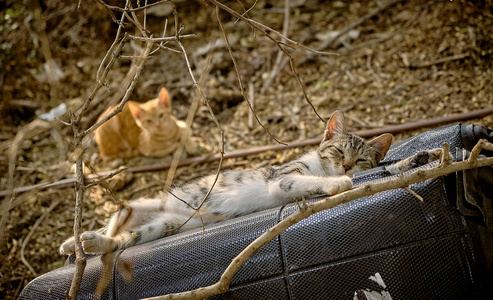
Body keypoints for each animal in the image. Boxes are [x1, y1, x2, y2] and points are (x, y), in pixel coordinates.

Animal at [59, 111, 440, 254]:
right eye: (339, 150)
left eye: (360, 160)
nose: (346, 165)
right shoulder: (283, 178)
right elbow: (308, 180)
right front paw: (337, 184)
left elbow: (390, 169)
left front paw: (418, 159)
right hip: (136, 207)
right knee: (112, 226)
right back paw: (75, 242)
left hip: (160, 227)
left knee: (119, 241)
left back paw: (88, 243)